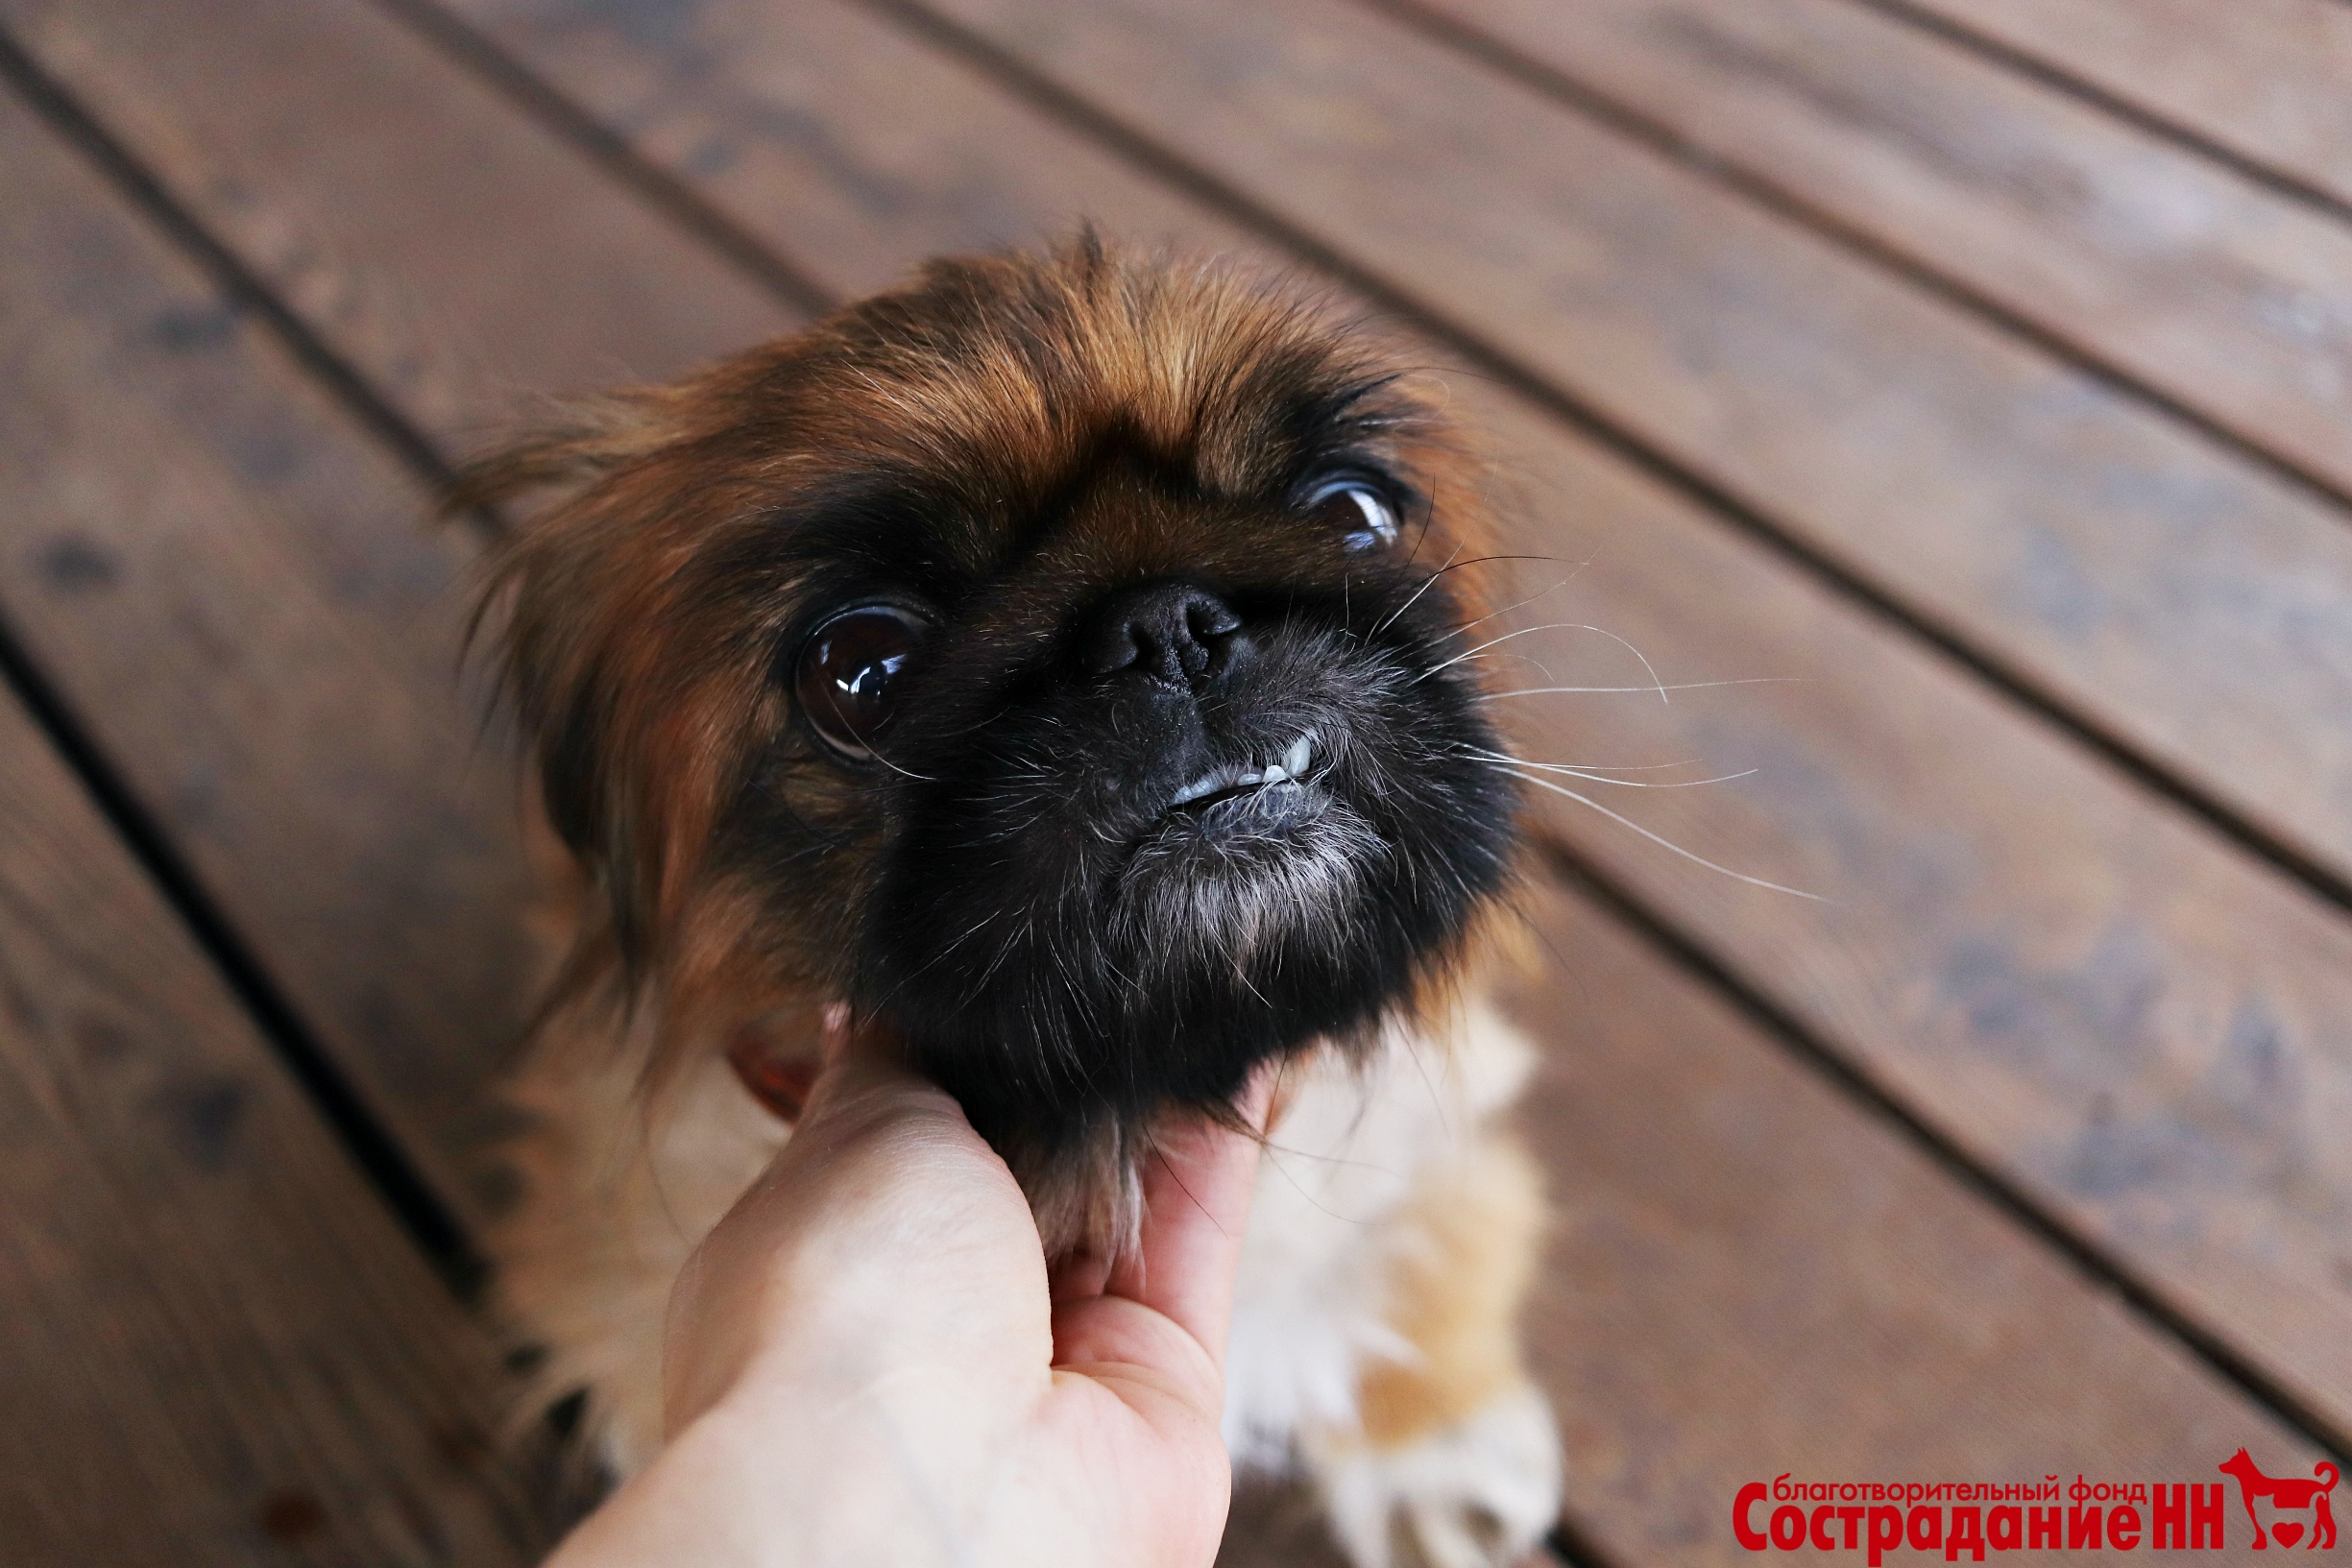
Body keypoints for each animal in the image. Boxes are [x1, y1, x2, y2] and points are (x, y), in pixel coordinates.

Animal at [458, 236, 1562, 1568]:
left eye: (1352, 515)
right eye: (860, 672)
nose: (1169, 623)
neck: (1108, 1136)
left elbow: (1436, 1248)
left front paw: (1432, 1439)